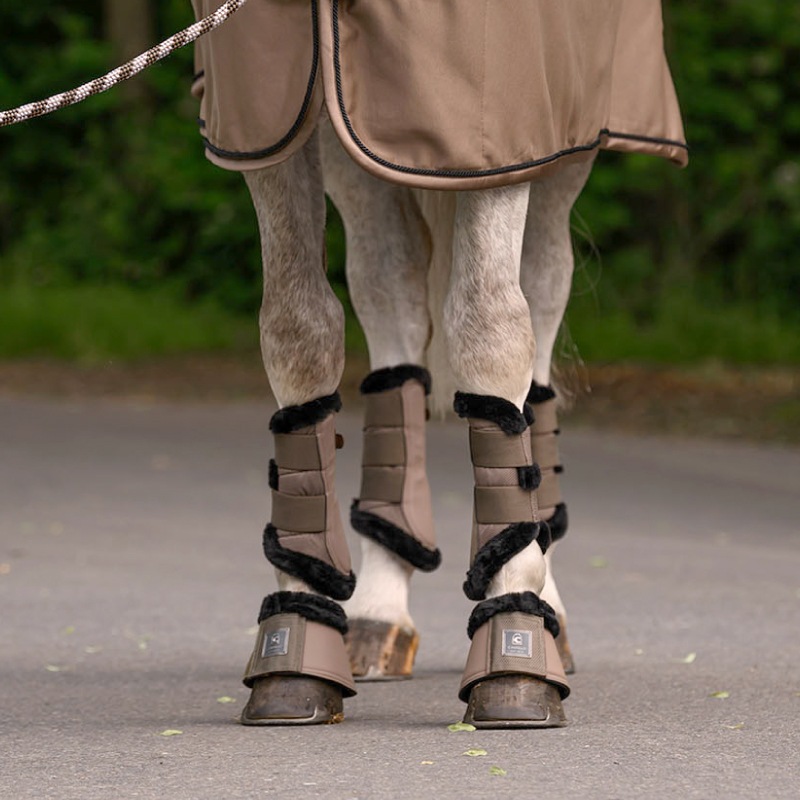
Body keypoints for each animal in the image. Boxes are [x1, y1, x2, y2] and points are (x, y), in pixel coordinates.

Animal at [190, 0, 687, 728]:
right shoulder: (274, 115)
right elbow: (296, 325)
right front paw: (298, 631)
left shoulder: (503, 134)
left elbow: (489, 325)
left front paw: (515, 638)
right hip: (355, 138)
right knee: (388, 295)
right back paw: (377, 613)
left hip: (565, 146)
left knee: (535, 312)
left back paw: (547, 609)